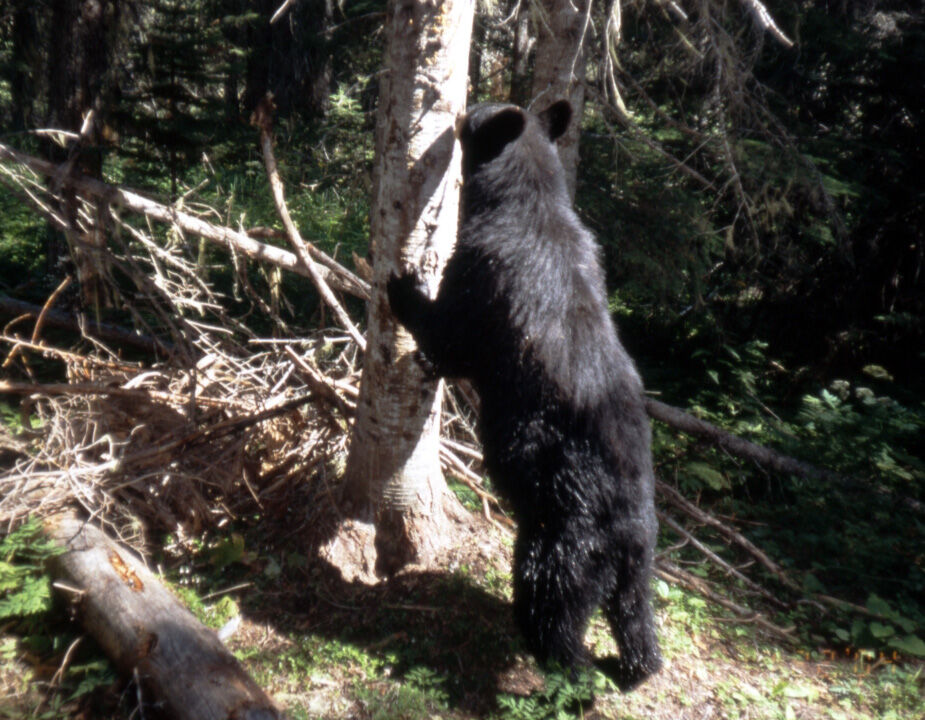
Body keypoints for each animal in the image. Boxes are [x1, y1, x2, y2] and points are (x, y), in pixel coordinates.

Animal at [386, 101, 660, 692]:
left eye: (469, 118)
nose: (455, 119)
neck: (530, 203)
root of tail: (629, 525)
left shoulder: (485, 271)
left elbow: (454, 335)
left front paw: (405, 287)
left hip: (564, 529)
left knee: (549, 596)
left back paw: (572, 673)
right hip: (638, 560)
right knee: (635, 614)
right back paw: (636, 666)